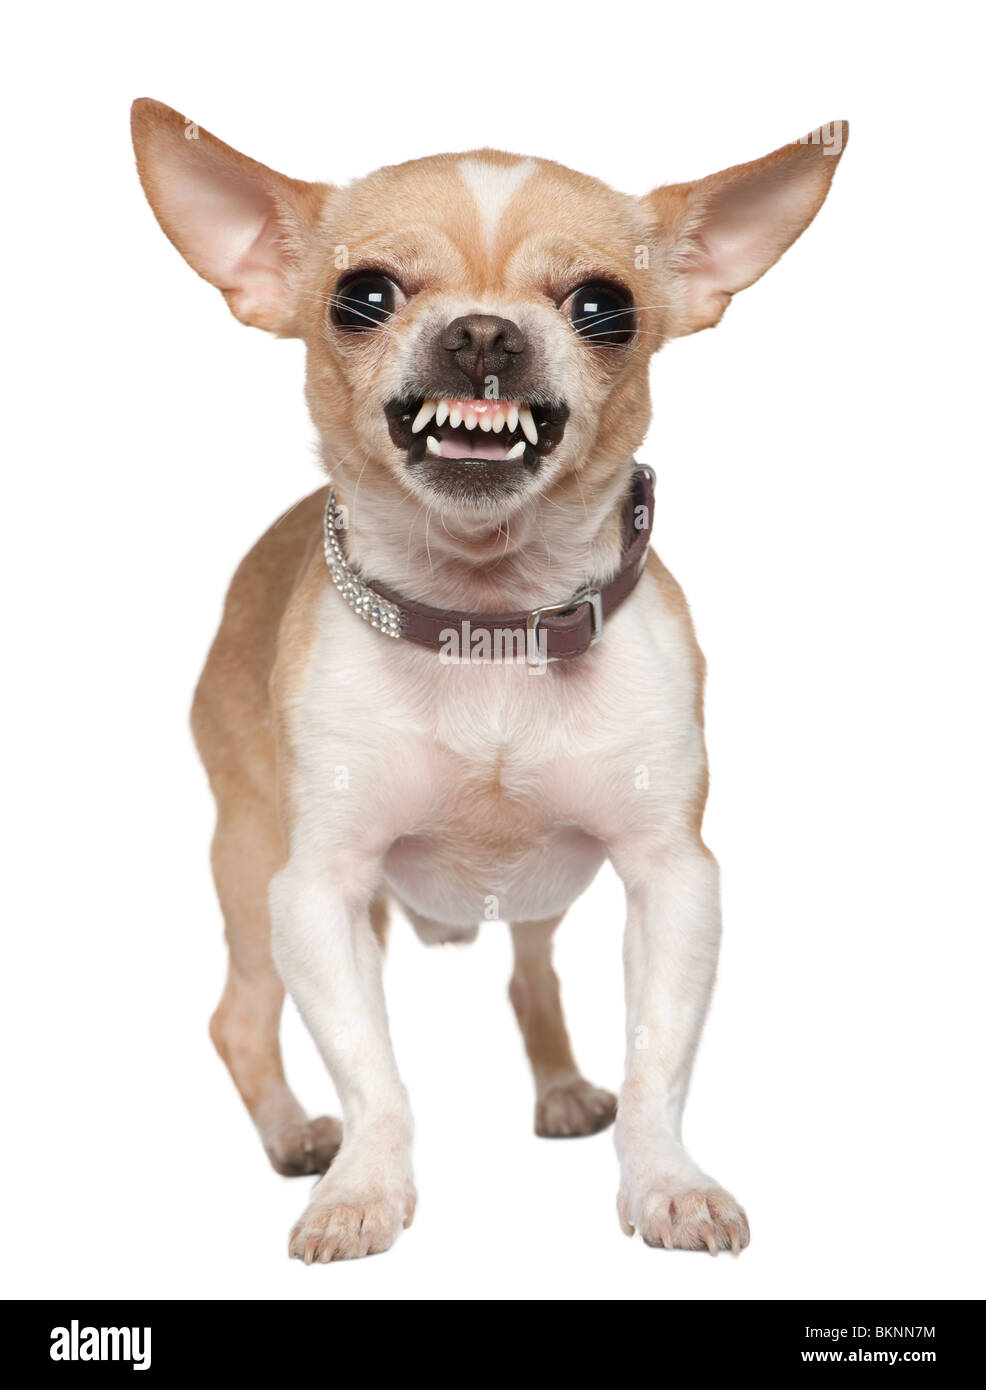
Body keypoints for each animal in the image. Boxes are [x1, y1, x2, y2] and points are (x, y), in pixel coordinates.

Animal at [130, 102, 845, 1267]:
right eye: (363, 296)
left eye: (603, 307)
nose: (482, 333)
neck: (487, 629)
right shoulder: (315, 892)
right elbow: (373, 1076)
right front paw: (359, 1190)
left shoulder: (671, 879)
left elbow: (656, 1059)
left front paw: (667, 1184)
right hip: (248, 863)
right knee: (238, 1019)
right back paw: (293, 1136)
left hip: (543, 889)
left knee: (530, 974)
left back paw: (557, 1088)